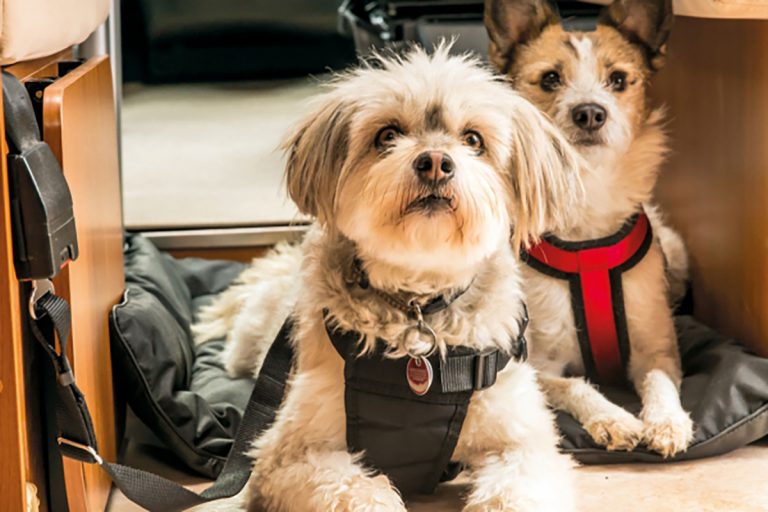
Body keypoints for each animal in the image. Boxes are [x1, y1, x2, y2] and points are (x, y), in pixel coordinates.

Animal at [201, 46, 584, 510]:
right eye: (387, 135)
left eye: (473, 139)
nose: (435, 162)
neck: (419, 300)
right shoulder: (290, 454)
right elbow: (359, 490)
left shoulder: (522, 446)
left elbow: (515, 491)